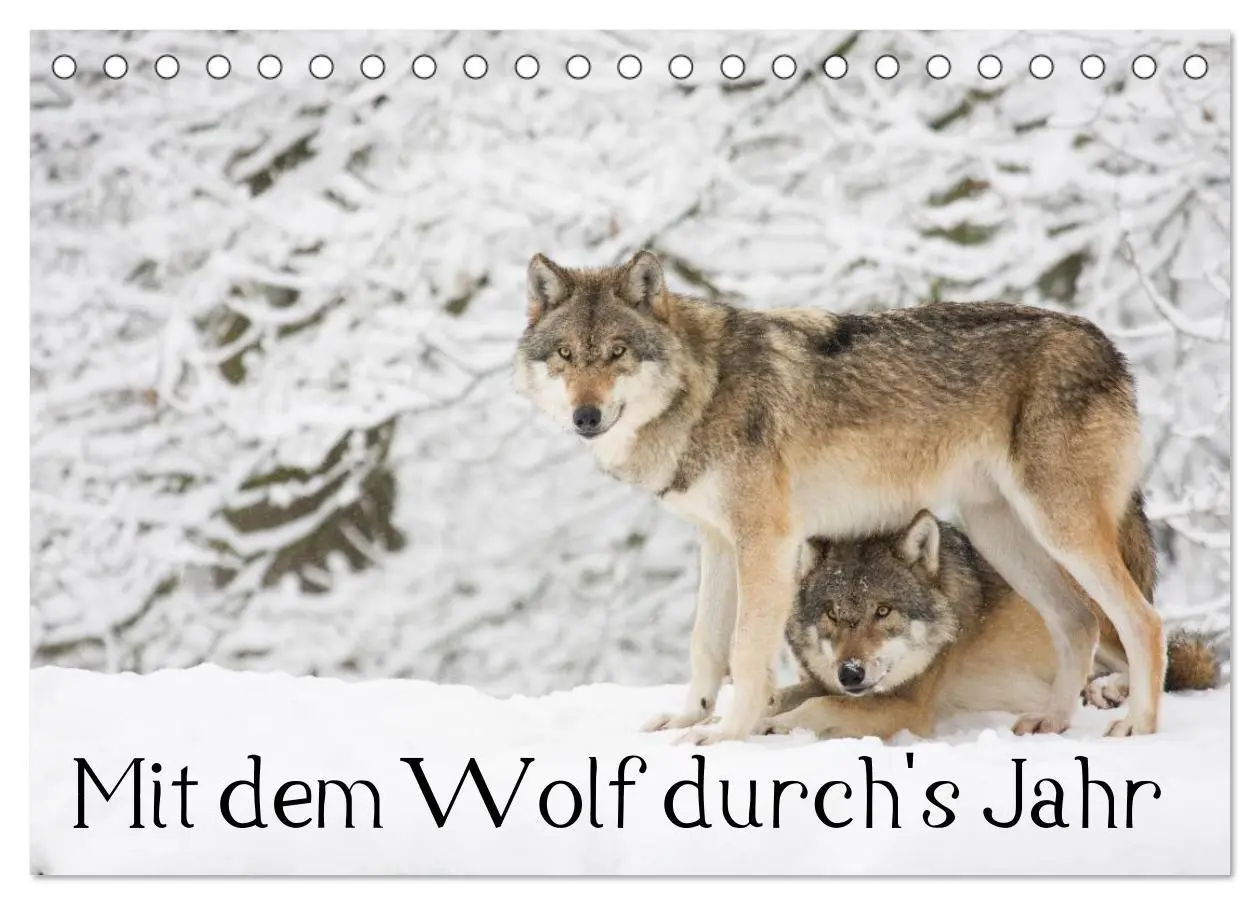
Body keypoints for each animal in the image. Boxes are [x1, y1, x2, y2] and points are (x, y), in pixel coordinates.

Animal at [515, 250, 1167, 742]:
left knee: (1143, 620)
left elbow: (747, 655)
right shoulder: (718, 543)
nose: (585, 415)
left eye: (617, 352)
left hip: (1060, 528)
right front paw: (688, 718)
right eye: (566, 355)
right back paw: (1053, 721)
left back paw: (1138, 724)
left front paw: (727, 736)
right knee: (1078, 621)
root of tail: (1108, 345)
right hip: (1000, 532)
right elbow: (706, 644)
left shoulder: (766, 544)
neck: (704, 388)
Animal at [763, 510, 1219, 740]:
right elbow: (784, 696)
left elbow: (820, 706)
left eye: (883, 611)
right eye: (832, 614)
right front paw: (756, 714)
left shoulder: (907, 708)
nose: (851, 673)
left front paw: (777, 725)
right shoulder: (826, 683)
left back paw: (1110, 695)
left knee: (1156, 652)